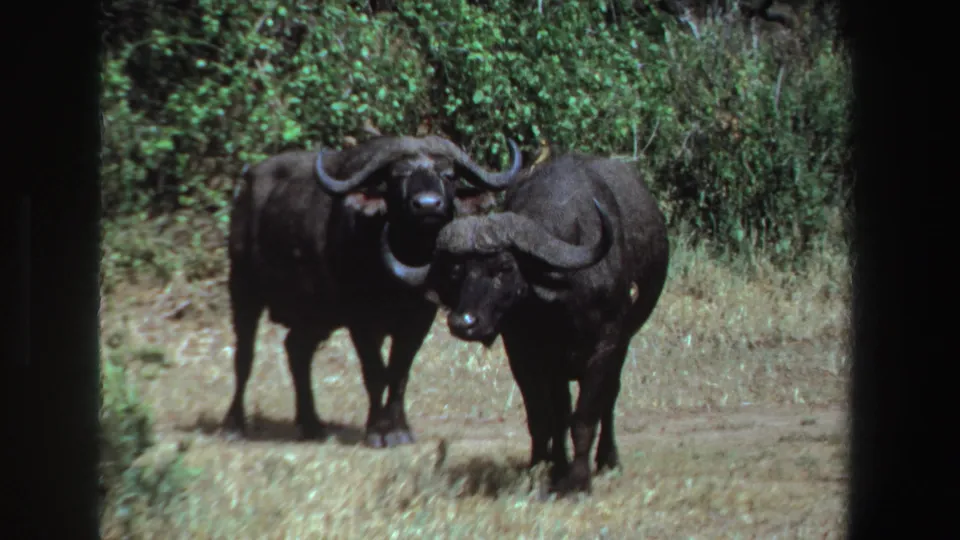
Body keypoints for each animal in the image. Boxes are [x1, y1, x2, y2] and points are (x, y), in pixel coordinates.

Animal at [225, 134, 523, 447]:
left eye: (448, 175)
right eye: (398, 176)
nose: (428, 205)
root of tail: (247, 184)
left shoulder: (419, 320)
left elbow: (399, 373)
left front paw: (399, 428)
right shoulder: (361, 321)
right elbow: (375, 373)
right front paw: (378, 431)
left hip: (316, 314)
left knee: (297, 349)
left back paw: (312, 424)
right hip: (243, 289)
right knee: (244, 356)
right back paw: (234, 425)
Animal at [382, 151, 670, 494]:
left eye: (505, 267)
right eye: (457, 271)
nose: (463, 322)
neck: (560, 300)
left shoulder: (607, 345)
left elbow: (585, 415)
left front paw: (577, 482)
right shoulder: (528, 353)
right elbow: (548, 416)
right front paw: (550, 469)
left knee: (609, 398)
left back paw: (608, 460)